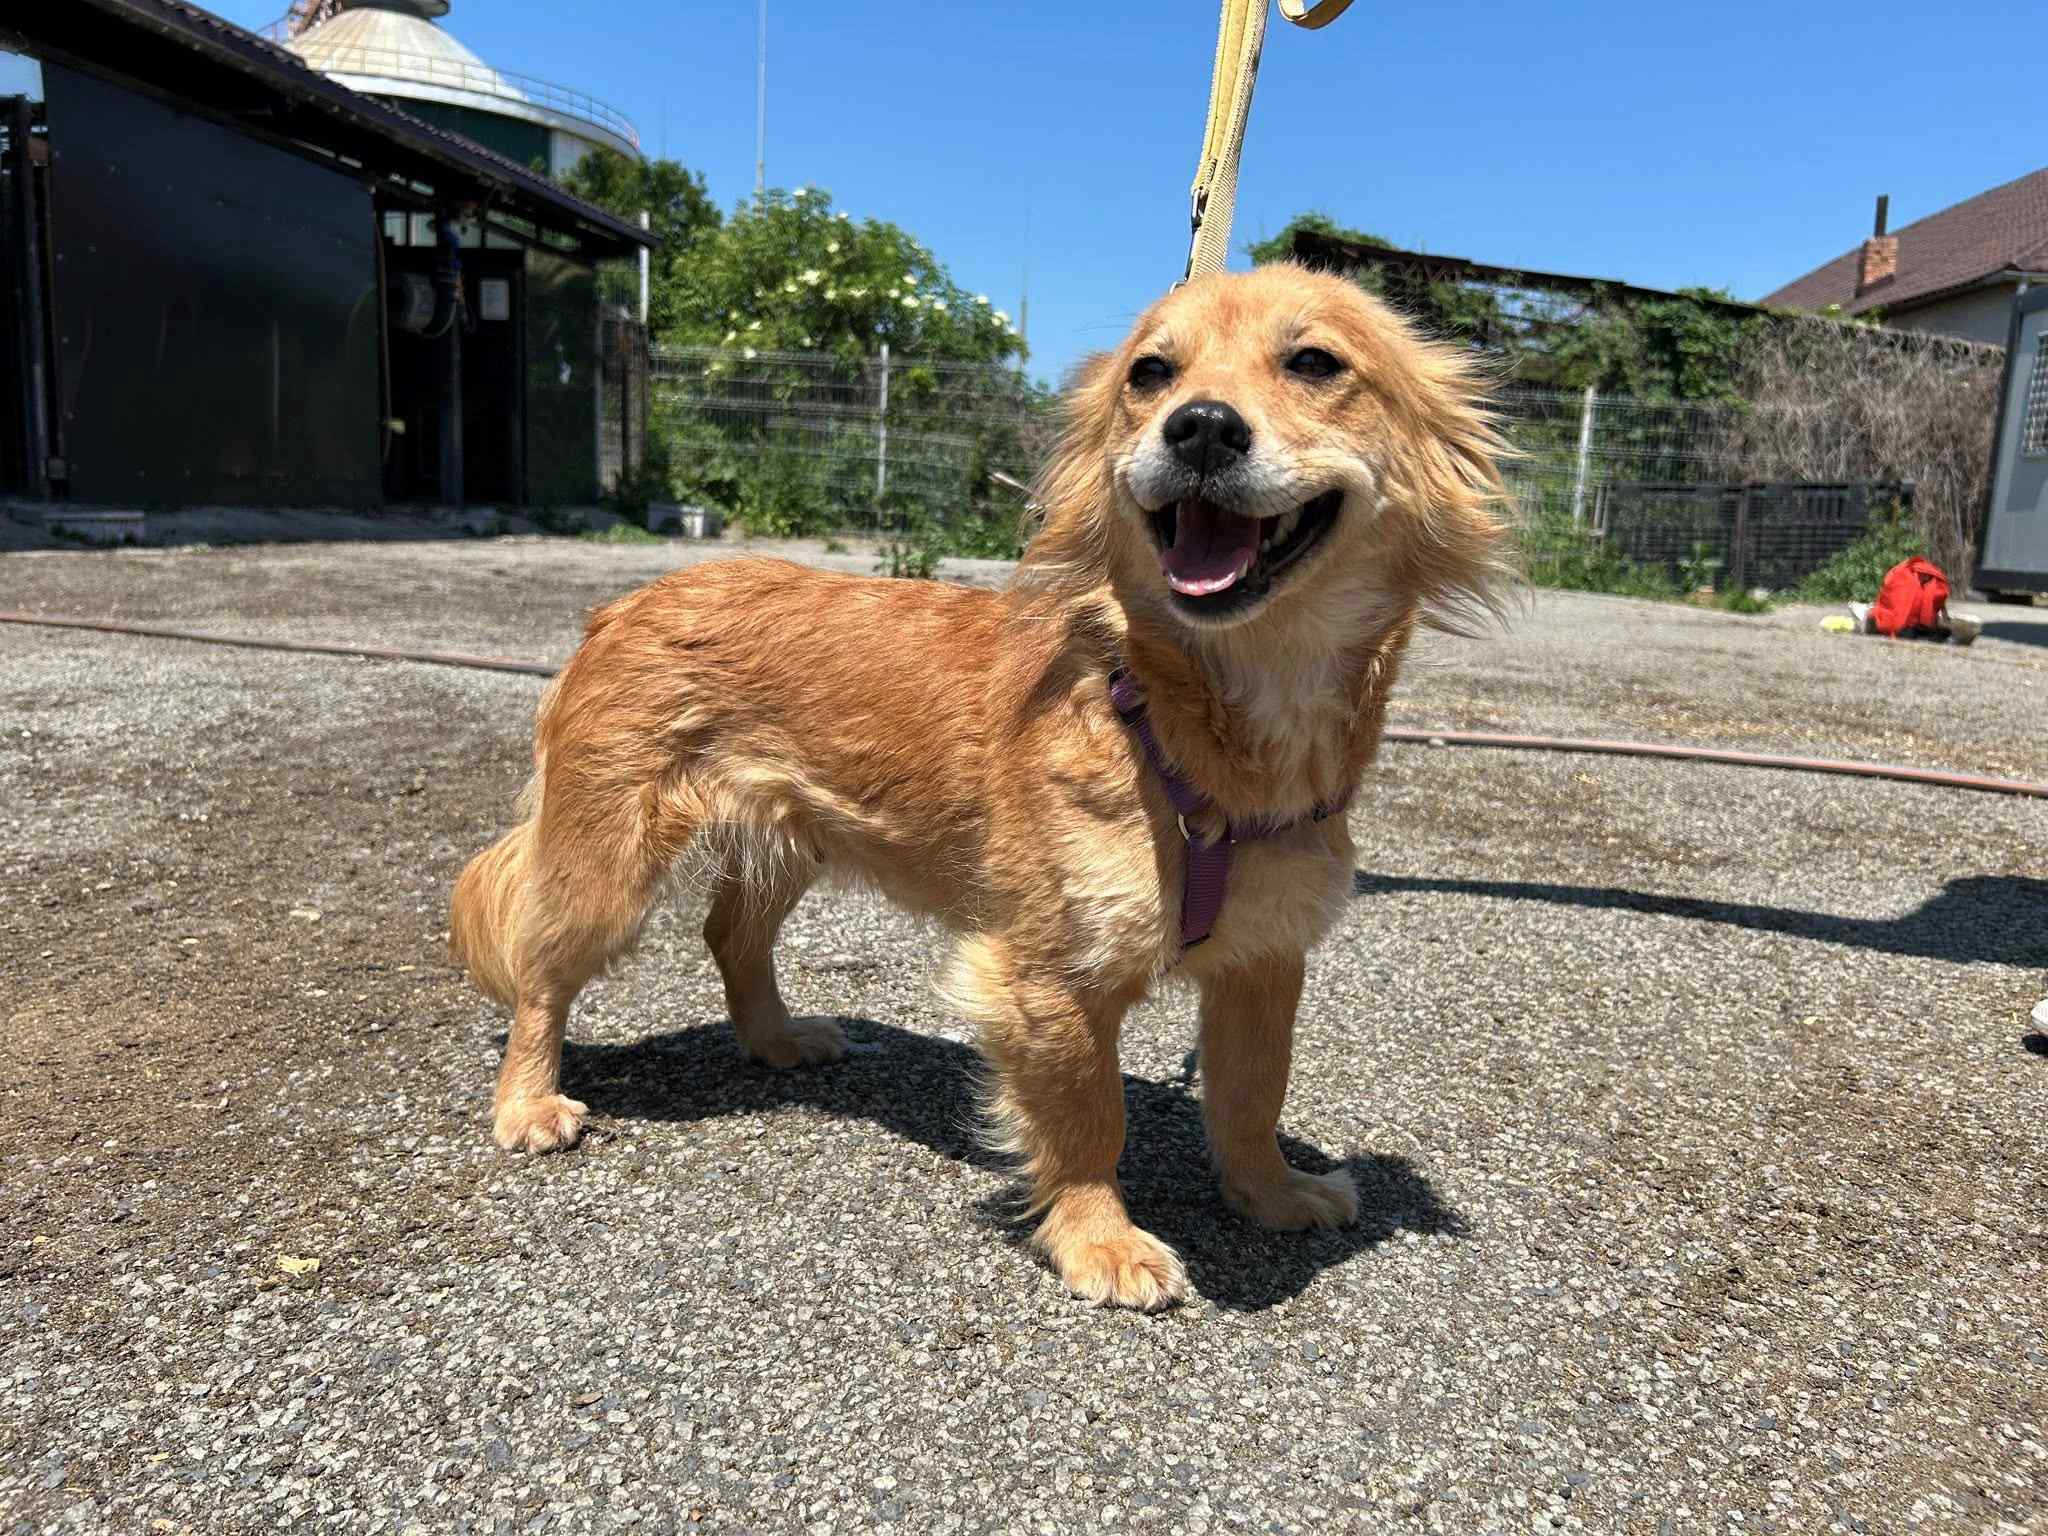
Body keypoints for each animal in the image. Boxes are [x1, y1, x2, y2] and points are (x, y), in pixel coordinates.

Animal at [450, 264, 1509, 1310]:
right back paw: (529, 1099)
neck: (1202, 719)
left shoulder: (1266, 959)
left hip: (790, 838)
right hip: (607, 867)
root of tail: (624, 602)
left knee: (729, 936)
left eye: (1316, 362)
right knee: (541, 975)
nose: (1200, 426)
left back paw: (777, 1038)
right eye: (1150, 374)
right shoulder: (1045, 975)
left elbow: (1253, 1093)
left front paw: (1272, 1192)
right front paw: (1099, 1239)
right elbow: (1089, 1117)